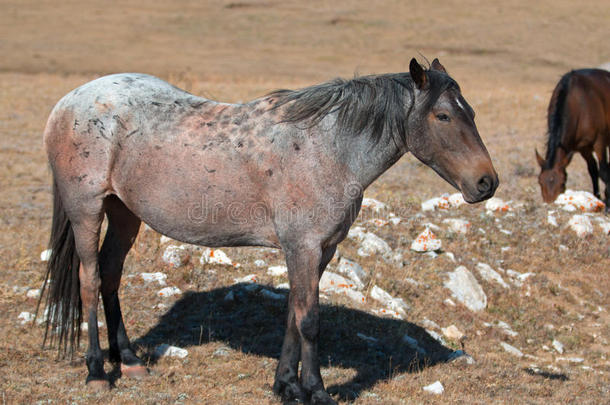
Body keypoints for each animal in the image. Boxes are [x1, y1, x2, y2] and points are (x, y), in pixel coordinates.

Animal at [36, 58, 494, 402]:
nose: (487, 183)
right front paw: (316, 391)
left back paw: (129, 361)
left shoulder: (319, 250)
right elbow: (309, 321)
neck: (327, 148)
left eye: (471, 112)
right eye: (443, 115)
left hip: (125, 213)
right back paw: (97, 371)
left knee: (111, 275)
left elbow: (294, 313)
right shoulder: (303, 247)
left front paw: (286, 386)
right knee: (90, 279)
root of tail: (68, 102)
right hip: (87, 210)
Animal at [536, 68, 604, 208]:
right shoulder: (584, 148)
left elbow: (604, 170)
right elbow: (593, 170)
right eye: (540, 181)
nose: (549, 203)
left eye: (563, 182)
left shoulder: (599, 142)